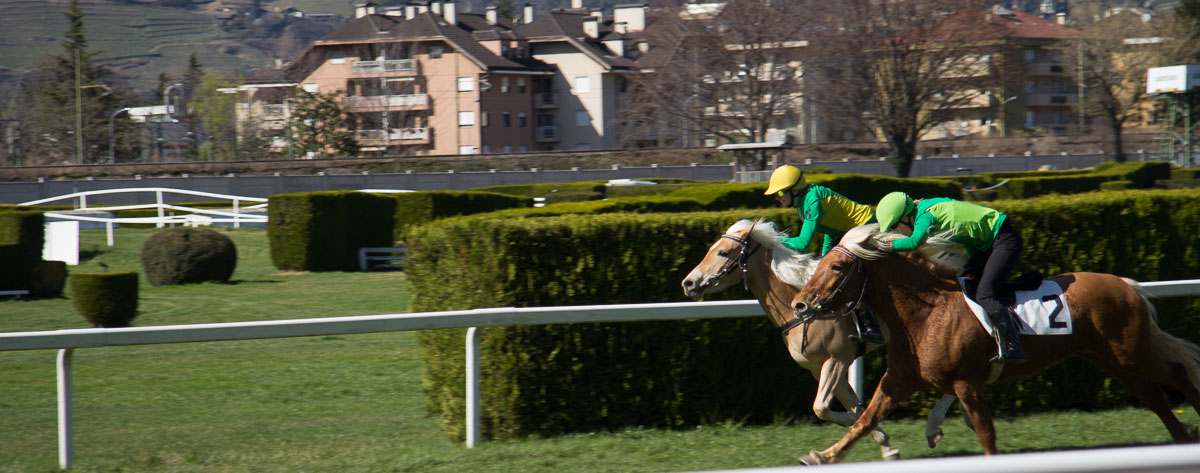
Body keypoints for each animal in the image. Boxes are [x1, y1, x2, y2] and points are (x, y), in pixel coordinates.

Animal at [681, 219, 959, 460]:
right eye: (711, 249)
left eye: (723, 253)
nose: (689, 283)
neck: (797, 310)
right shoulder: (818, 367)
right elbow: (853, 408)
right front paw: (886, 447)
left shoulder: (837, 359)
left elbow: (823, 408)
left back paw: (933, 425)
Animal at [789, 224, 1200, 464]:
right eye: (820, 261)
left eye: (838, 267)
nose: (801, 304)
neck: (926, 313)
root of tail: (1127, 285)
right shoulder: (901, 379)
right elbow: (865, 419)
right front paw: (822, 456)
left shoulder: (967, 383)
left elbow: (986, 432)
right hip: (1110, 359)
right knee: (1154, 396)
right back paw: (1181, 437)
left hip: (1130, 352)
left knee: (1177, 373)